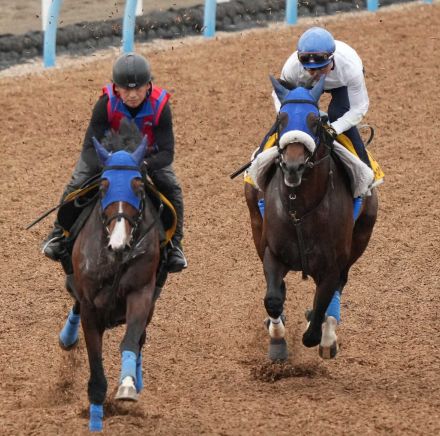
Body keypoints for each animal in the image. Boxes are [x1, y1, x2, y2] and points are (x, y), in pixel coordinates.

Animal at [57, 121, 168, 430]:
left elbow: (131, 340)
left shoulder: (141, 293)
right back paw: (67, 337)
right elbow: (95, 367)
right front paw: (96, 419)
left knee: (140, 338)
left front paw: (128, 386)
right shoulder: (91, 306)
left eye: (138, 187)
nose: (118, 242)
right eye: (104, 186)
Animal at [244, 76, 378, 362]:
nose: (293, 166)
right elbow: (273, 298)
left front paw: (321, 334)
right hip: (255, 225)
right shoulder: (273, 252)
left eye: (315, 120)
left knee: (339, 286)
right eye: (281, 118)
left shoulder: (332, 264)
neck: (300, 209)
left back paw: (328, 336)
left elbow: (319, 311)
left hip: (362, 235)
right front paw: (277, 338)